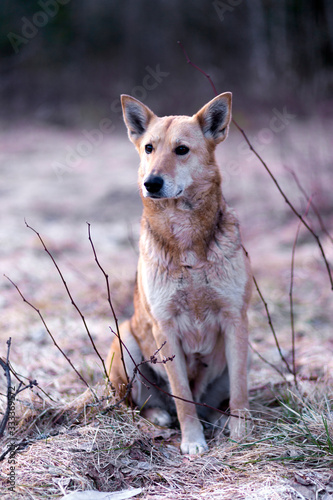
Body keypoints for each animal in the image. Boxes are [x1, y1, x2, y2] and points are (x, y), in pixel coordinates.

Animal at [106, 92, 252, 456]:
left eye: (182, 149)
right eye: (148, 148)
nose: (151, 183)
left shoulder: (235, 320)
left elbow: (240, 389)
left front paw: (241, 433)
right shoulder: (166, 328)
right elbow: (182, 396)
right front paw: (193, 441)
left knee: (212, 401)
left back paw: (218, 419)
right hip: (124, 342)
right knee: (136, 406)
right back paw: (159, 418)